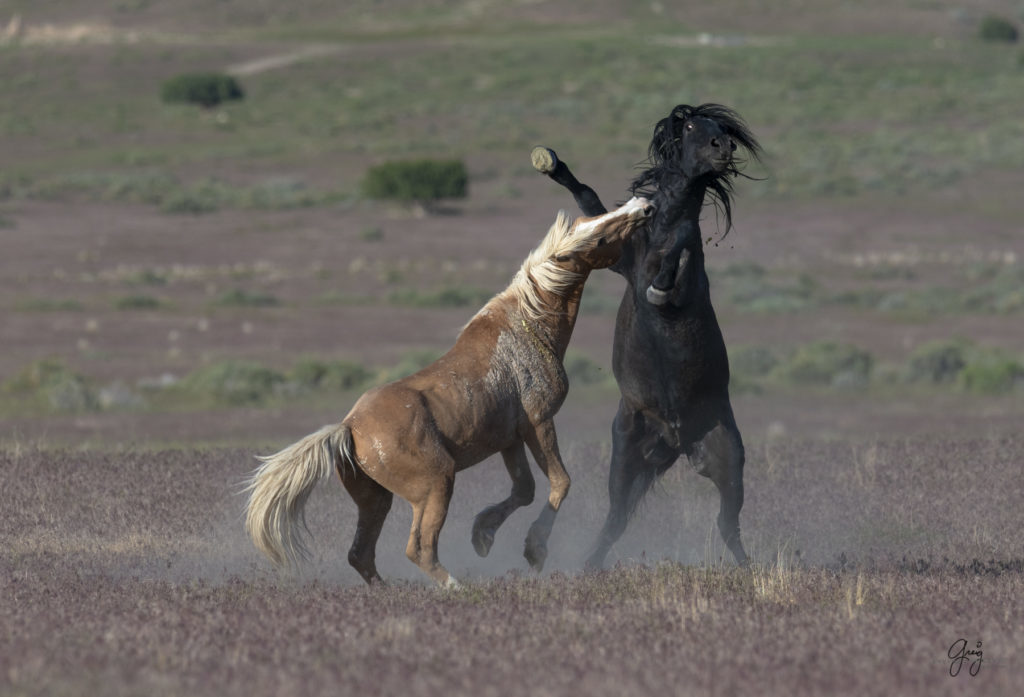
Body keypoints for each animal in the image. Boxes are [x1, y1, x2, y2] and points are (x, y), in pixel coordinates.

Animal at [243, 197, 651, 585]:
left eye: (590, 220)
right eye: (597, 237)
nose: (643, 206)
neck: (528, 328)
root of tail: (349, 428)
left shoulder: (510, 439)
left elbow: (524, 489)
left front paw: (482, 535)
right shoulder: (539, 423)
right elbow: (559, 484)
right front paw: (534, 550)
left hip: (376, 500)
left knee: (361, 554)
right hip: (436, 485)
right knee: (418, 548)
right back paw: (456, 586)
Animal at [536, 103, 761, 569]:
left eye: (722, 128)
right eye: (691, 125)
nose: (724, 147)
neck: (656, 234)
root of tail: (677, 441)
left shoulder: (684, 281)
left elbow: (681, 249)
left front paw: (660, 281)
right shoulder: (621, 258)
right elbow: (587, 197)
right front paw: (552, 163)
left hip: (729, 462)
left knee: (727, 525)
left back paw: (751, 570)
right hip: (625, 459)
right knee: (615, 521)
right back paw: (587, 566)